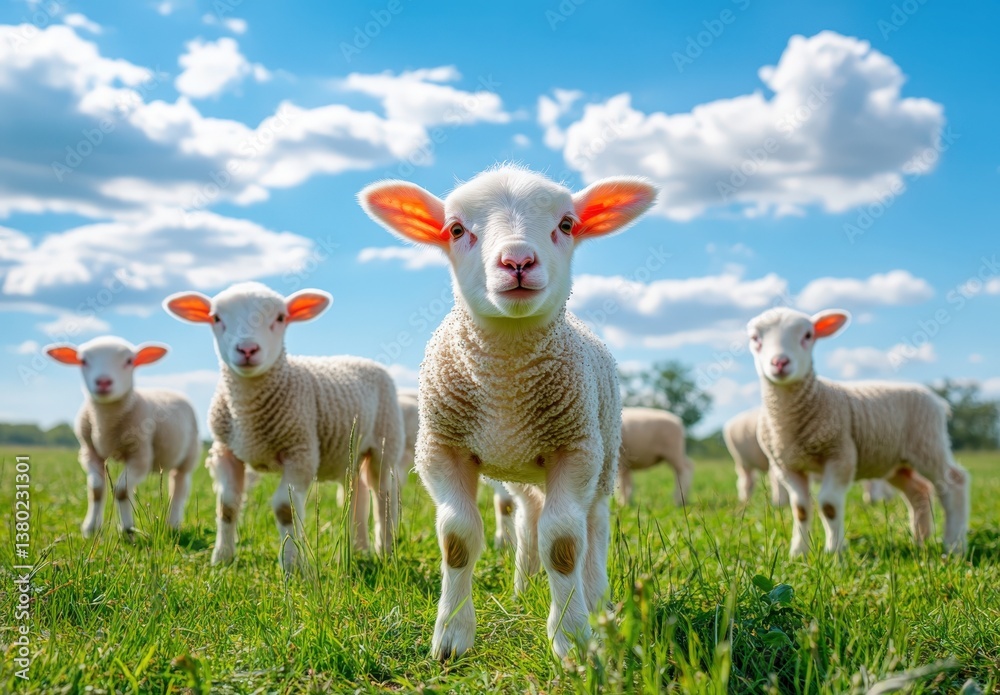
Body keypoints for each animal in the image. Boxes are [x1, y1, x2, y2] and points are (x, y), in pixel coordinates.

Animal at [44, 337, 199, 536]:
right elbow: (97, 490)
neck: (105, 424)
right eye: (83, 361)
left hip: (189, 455)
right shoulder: (90, 452)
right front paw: (91, 529)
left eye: (129, 361)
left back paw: (172, 524)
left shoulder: (141, 455)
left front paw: (127, 530)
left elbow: (121, 491)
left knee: (179, 487)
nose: (103, 382)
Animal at [163, 282, 405, 569]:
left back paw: (385, 551)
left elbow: (284, 509)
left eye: (280, 318)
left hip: (385, 444)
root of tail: (360, 359)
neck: (248, 412)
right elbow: (227, 505)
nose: (247, 349)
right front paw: (222, 558)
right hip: (350, 455)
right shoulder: (226, 451)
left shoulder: (300, 452)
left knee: (383, 495)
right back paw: (357, 550)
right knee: (357, 494)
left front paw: (292, 565)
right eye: (216, 318)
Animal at [359, 165, 657, 659]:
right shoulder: (442, 448)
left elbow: (563, 543)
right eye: (456, 229)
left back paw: (597, 601)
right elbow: (458, 538)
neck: (506, 385)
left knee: (592, 527)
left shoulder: (574, 449)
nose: (517, 261)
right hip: (521, 473)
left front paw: (573, 640)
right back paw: (524, 586)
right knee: (528, 518)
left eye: (567, 225)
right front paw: (451, 639)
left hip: (602, 457)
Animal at [747, 307, 969, 557]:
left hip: (928, 443)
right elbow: (800, 509)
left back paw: (954, 546)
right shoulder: (786, 466)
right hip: (895, 461)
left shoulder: (840, 454)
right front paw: (798, 553)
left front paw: (834, 553)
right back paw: (920, 541)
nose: (780, 362)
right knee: (918, 491)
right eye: (755, 338)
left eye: (808, 335)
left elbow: (829, 505)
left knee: (954, 483)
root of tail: (938, 401)